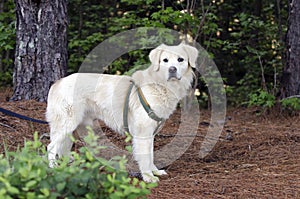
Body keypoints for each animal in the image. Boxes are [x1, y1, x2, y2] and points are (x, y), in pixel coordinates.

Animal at [45, 43, 198, 182]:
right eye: (165, 60)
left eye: (180, 59)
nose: (172, 69)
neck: (160, 85)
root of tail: (58, 82)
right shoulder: (143, 132)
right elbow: (145, 157)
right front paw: (148, 176)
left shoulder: (150, 132)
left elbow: (151, 155)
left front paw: (155, 171)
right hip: (67, 123)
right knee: (51, 146)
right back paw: (53, 168)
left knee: (63, 148)